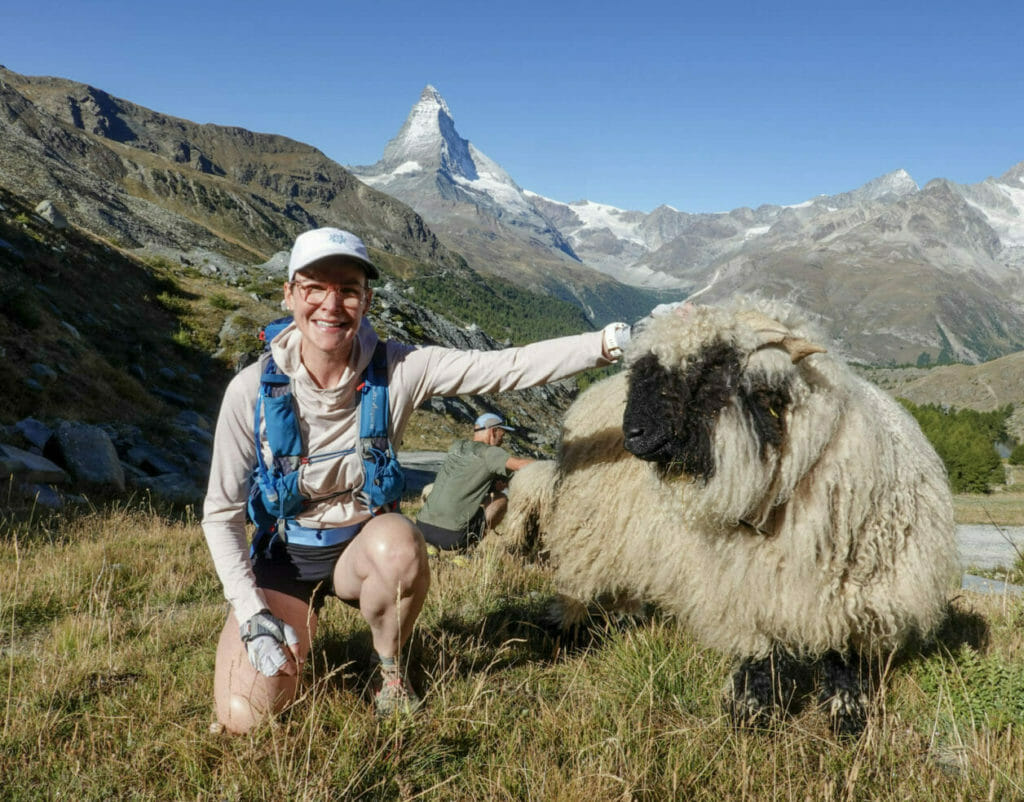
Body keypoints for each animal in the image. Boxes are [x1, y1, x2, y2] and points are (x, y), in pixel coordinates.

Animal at [503, 299, 959, 735]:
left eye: (710, 369)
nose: (633, 434)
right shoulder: (745, 586)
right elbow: (760, 653)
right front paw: (751, 715)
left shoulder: (853, 595)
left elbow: (841, 657)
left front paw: (847, 717)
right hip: (591, 526)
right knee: (579, 581)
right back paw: (565, 631)